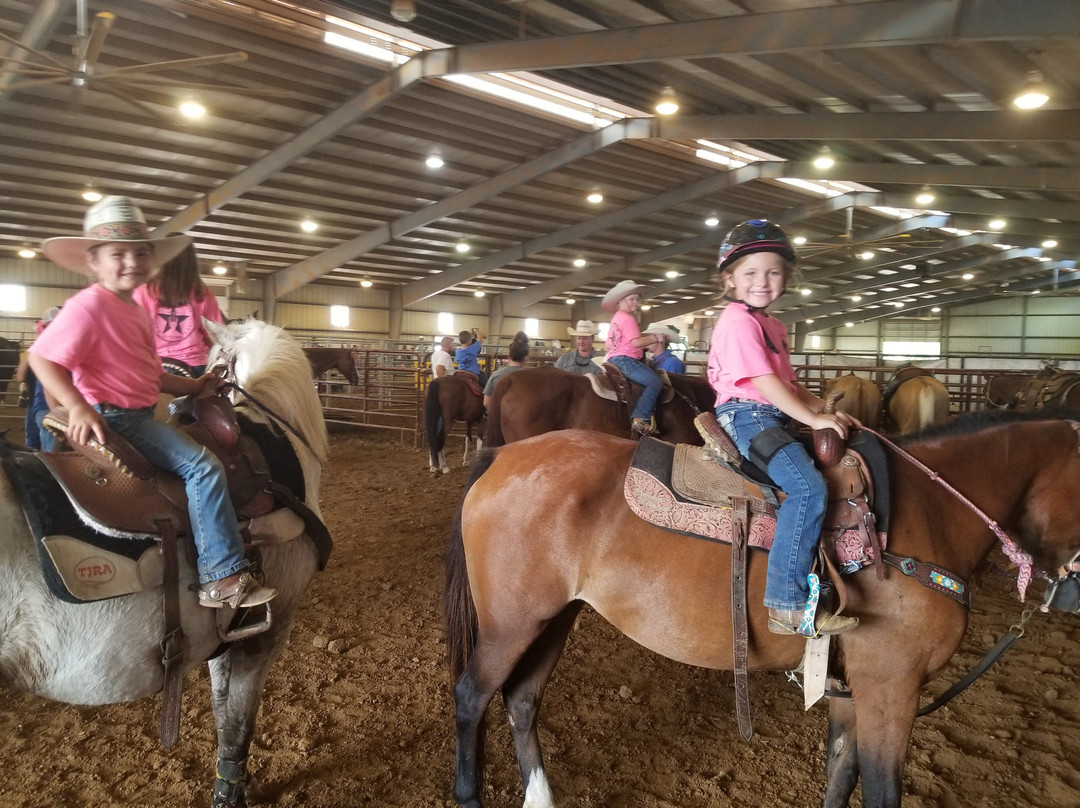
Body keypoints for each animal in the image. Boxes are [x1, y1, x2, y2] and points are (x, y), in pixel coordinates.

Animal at [0, 318, 330, 808]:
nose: (178, 405)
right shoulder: (267, 630)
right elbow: (238, 722)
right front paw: (231, 790)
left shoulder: (227, 633)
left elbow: (222, 708)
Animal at [443, 414, 1080, 808]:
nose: (1073, 592)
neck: (924, 516)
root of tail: (500, 456)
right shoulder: (892, 685)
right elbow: (880, 789)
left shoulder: (851, 687)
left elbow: (840, 776)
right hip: (510, 625)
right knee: (473, 696)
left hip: (555, 617)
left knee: (522, 701)